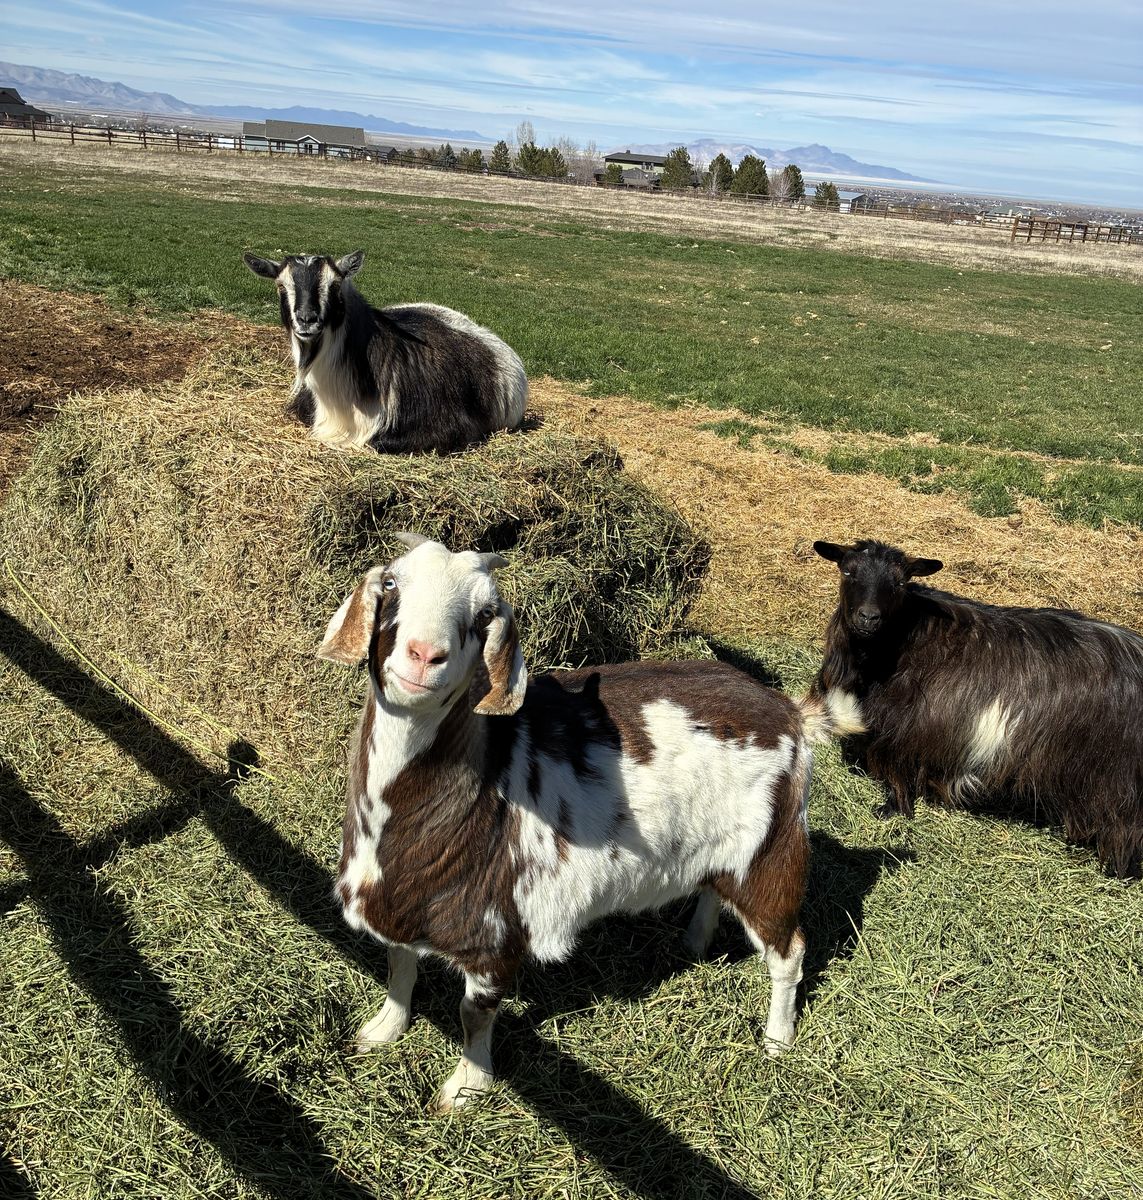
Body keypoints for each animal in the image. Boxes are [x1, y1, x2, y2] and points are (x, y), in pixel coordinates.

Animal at [319, 534, 864, 1110]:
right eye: (391, 582)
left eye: (485, 614)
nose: (425, 655)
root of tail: (790, 713)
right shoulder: (400, 901)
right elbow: (399, 967)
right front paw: (382, 1031)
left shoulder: (495, 930)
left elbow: (474, 1014)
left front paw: (465, 1089)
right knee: (715, 888)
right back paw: (695, 941)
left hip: (772, 852)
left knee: (789, 950)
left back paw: (778, 1039)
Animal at [810, 538, 1143, 878]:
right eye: (847, 571)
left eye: (900, 582)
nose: (868, 617)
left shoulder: (902, 730)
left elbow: (897, 775)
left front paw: (890, 811)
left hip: (1114, 774)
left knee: (1125, 822)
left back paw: (1117, 869)